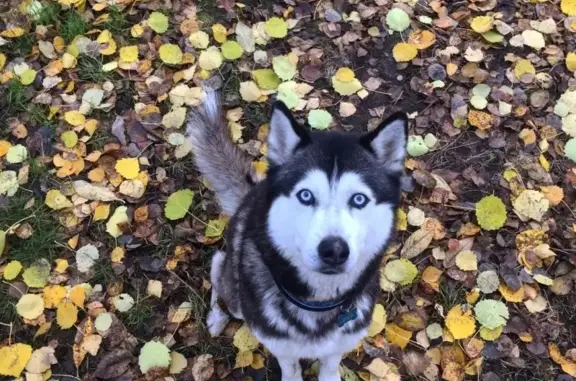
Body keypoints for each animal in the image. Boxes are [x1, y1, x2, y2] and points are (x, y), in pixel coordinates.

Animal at [187, 91, 408, 380]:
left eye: (358, 199)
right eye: (305, 195)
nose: (334, 250)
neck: (318, 303)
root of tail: (252, 194)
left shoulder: (341, 342)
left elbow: (330, 365)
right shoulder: (279, 344)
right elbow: (290, 368)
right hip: (236, 295)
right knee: (219, 271)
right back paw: (217, 317)